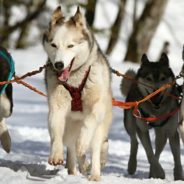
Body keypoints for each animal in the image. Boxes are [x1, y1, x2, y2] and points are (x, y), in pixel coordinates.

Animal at [42, 6, 112, 181]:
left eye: (70, 46)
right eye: (53, 45)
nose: (59, 65)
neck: (74, 79)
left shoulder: (97, 107)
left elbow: (89, 124)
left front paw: (83, 142)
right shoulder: (57, 107)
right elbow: (56, 131)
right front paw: (56, 154)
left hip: (100, 128)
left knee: (95, 148)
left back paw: (94, 174)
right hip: (70, 129)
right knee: (72, 150)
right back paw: (74, 171)